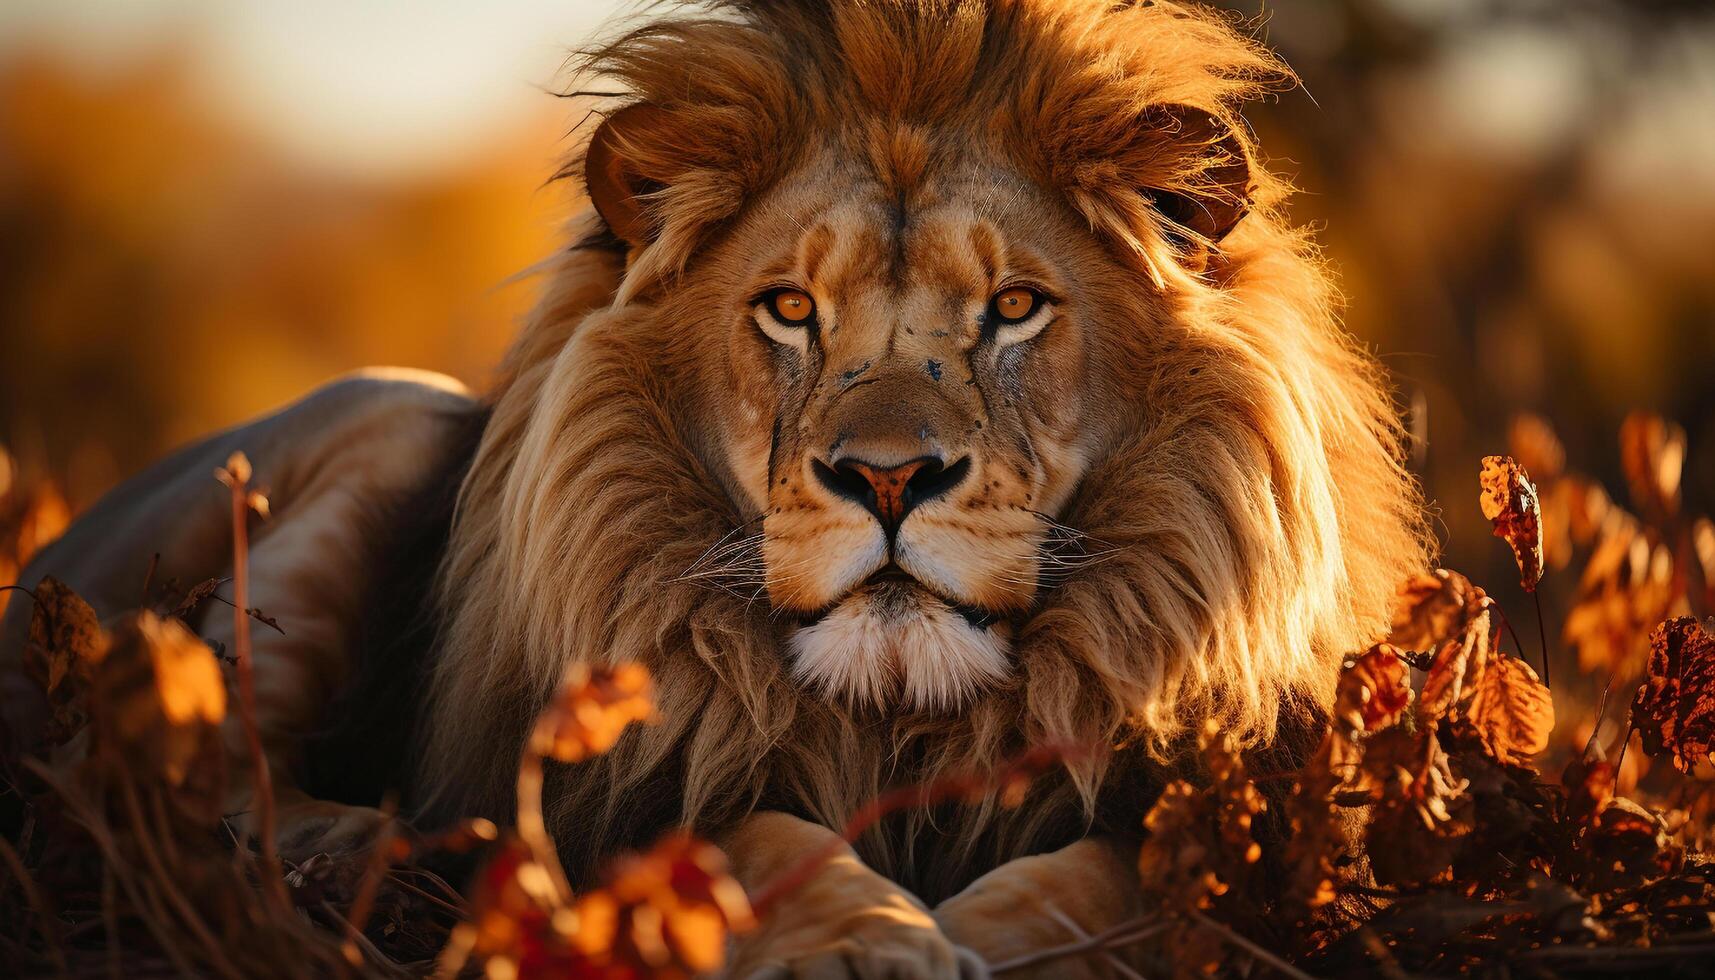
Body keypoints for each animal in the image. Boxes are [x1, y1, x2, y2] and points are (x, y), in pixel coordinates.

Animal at [3, 0, 1433, 974]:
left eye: (1015, 307)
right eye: (789, 310)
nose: (887, 475)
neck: (899, 719)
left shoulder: (1221, 815)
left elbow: (1115, 878)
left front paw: (1006, 933)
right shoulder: (641, 782)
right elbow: (759, 839)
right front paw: (866, 937)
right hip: (391, 412)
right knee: (155, 776)